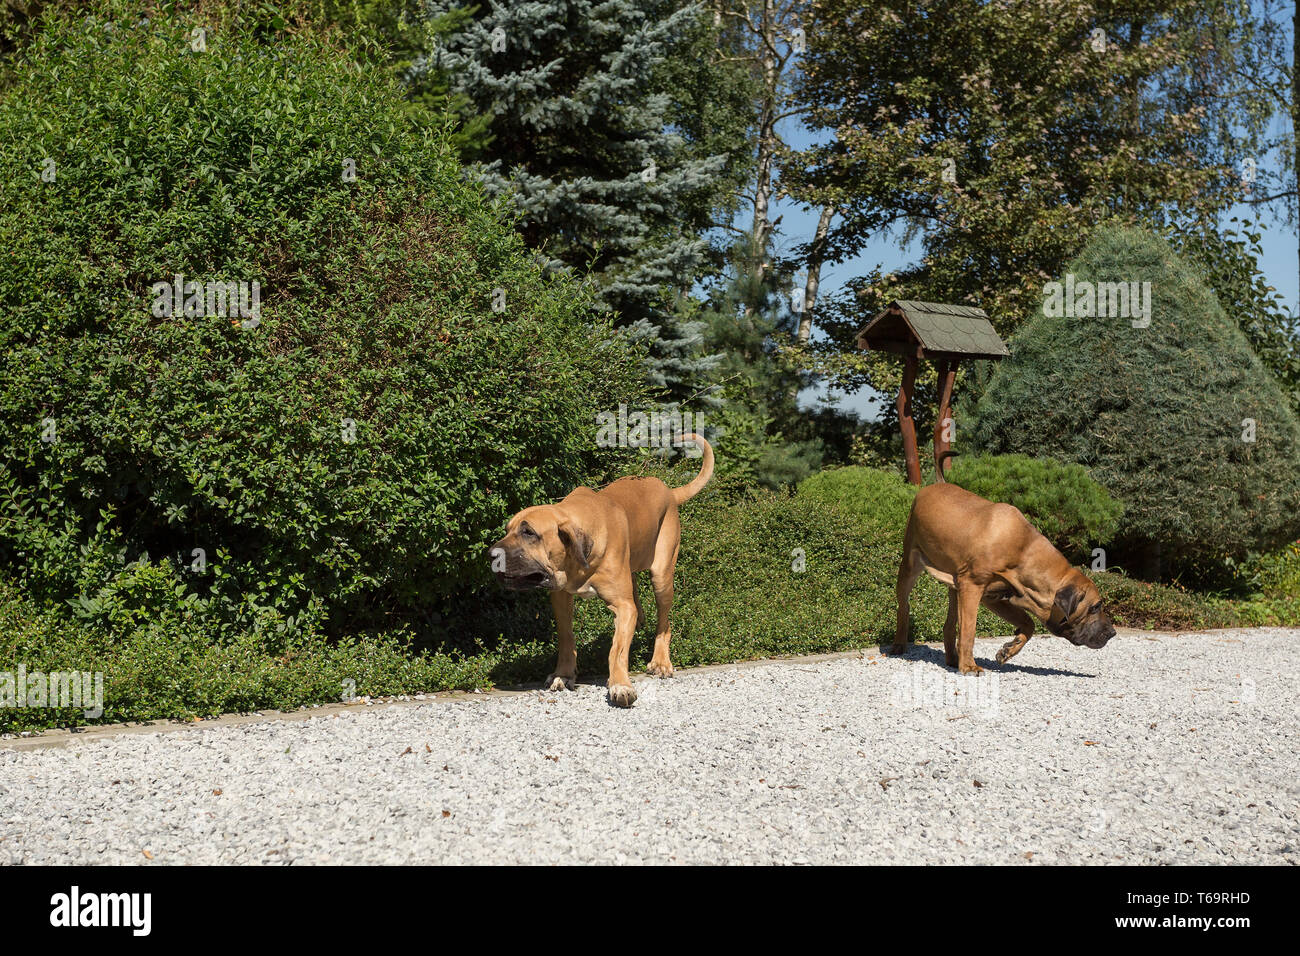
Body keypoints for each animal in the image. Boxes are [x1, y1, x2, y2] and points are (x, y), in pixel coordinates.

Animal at [488, 437, 717, 707]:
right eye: (508, 529)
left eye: (529, 532)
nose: (491, 554)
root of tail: (669, 492)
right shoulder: (560, 596)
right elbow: (566, 637)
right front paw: (563, 674)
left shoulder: (623, 606)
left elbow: (617, 650)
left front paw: (620, 685)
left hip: (662, 575)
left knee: (664, 621)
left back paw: (661, 661)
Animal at [894, 486, 1118, 671]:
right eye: (1095, 607)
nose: (1112, 633)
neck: (1023, 552)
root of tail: (931, 485)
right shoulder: (972, 586)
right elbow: (969, 631)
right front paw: (969, 667)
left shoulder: (995, 597)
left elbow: (1028, 623)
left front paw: (1010, 648)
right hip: (910, 565)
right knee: (904, 606)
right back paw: (899, 645)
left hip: (954, 587)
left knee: (949, 625)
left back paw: (952, 659)